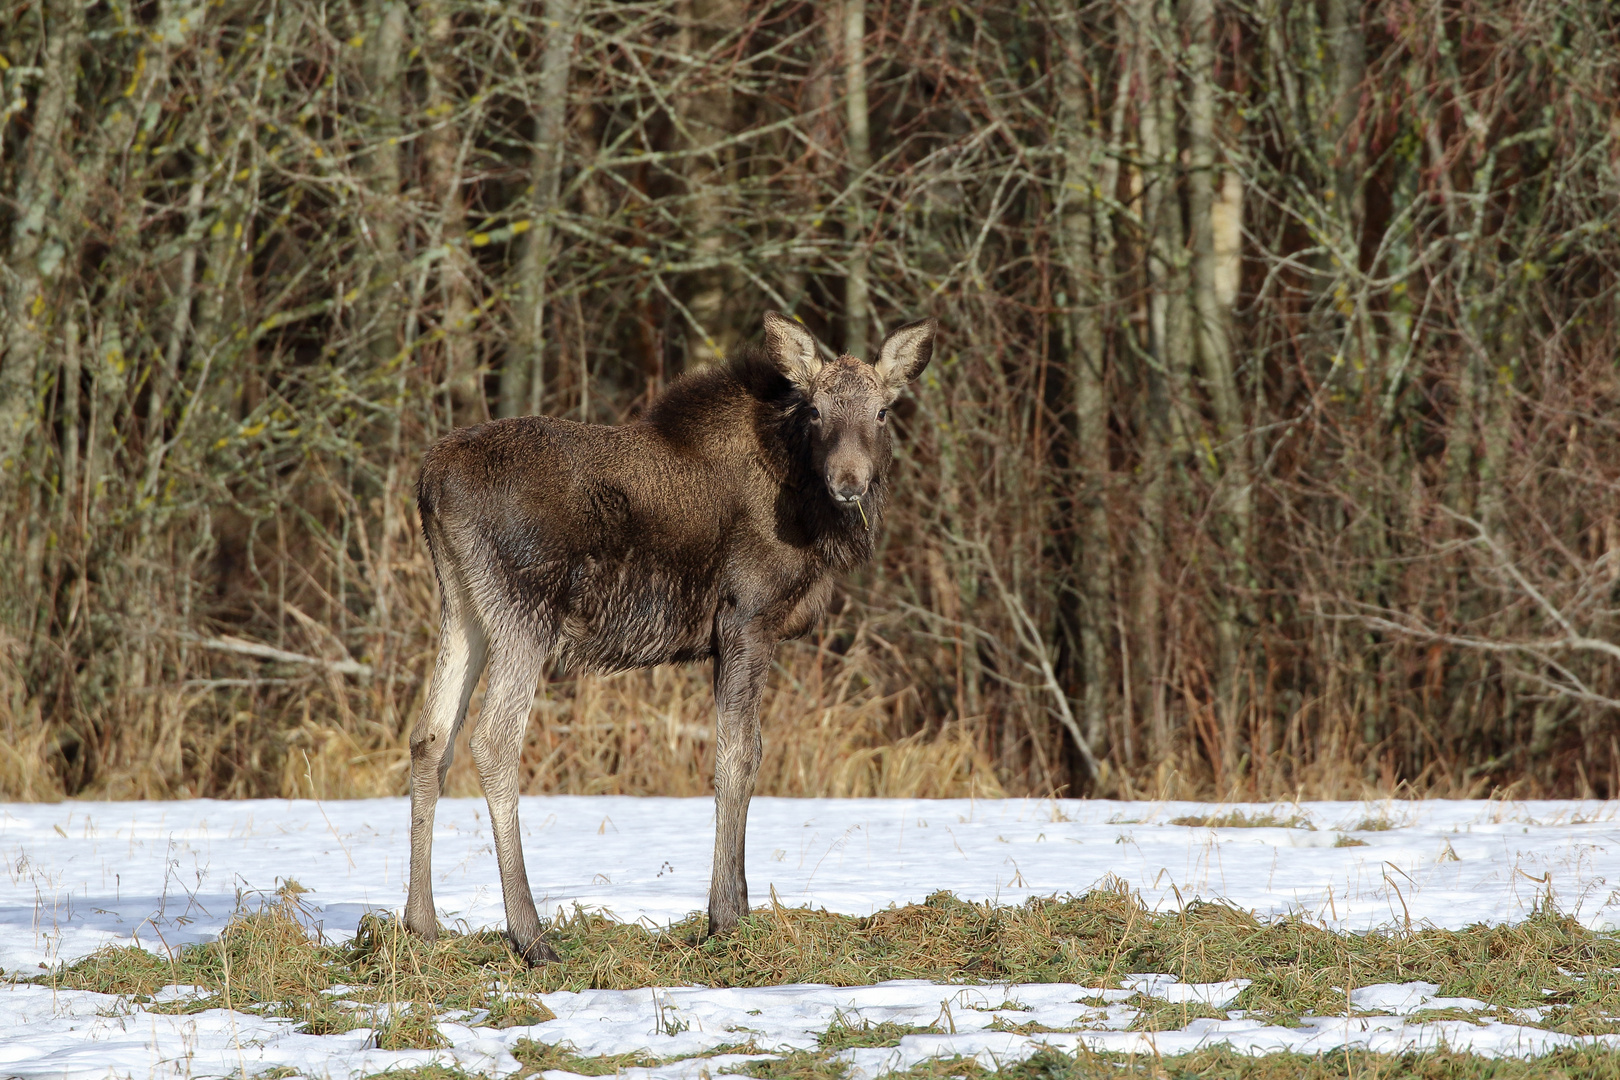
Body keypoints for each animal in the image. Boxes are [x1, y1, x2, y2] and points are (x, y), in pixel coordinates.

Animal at [405, 312, 939, 965]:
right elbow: (739, 755)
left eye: (883, 411)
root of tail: (430, 481)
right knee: (493, 740)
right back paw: (531, 936)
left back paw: (422, 926)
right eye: (815, 410)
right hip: (524, 613)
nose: (850, 483)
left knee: (431, 738)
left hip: (463, 607)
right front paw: (726, 916)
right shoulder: (746, 617)